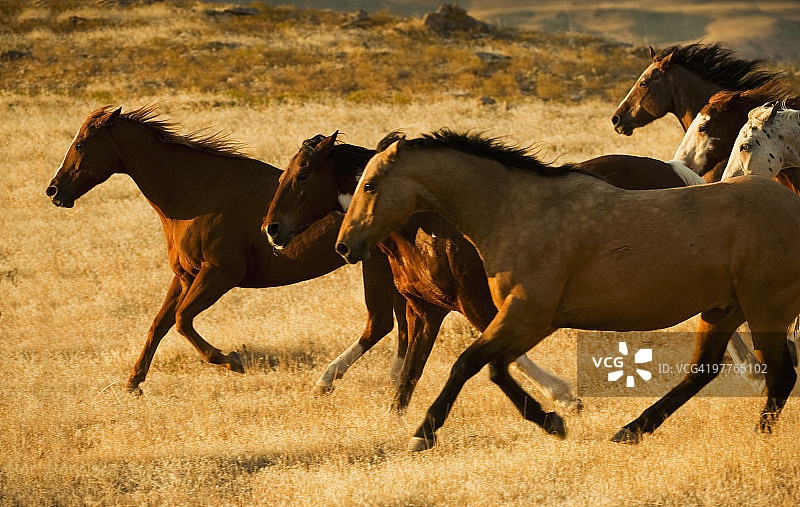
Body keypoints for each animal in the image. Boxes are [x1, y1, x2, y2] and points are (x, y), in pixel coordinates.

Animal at [46, 106, 408, 395]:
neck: (195, 193)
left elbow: (182, 320)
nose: (53, 190)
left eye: (81, 143)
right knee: (402, 326)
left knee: (381, 324)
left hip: (378, 266)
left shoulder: (220, 274)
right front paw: (133, 383)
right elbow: (159, 324)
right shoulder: (185, 275)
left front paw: (231, 360)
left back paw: (334, 381)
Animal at [336, 130, 799, 451]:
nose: (344, 246)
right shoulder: (531, 320)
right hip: (723, 311)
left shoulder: (527, 314)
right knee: (702, 372)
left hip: (765, 311)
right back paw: (631, 430)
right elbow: (496, 368)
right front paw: (552, 421)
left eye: (370, 185)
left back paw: (758, 437)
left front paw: (423, 433)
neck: (516, 210)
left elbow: (467, 364)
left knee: (780, 376)